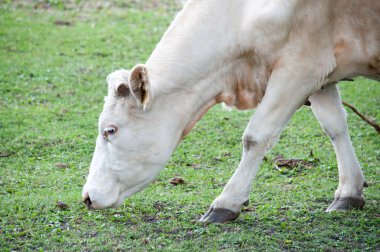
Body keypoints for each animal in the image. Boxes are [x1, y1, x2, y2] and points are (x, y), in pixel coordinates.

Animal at [83, 0, 380, 222]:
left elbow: (255, 136)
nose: (87, 196)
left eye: (110, 130)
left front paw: (225, 204)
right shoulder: (322, 73)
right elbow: (335, 126)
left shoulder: (300, 67)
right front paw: (349, 192)